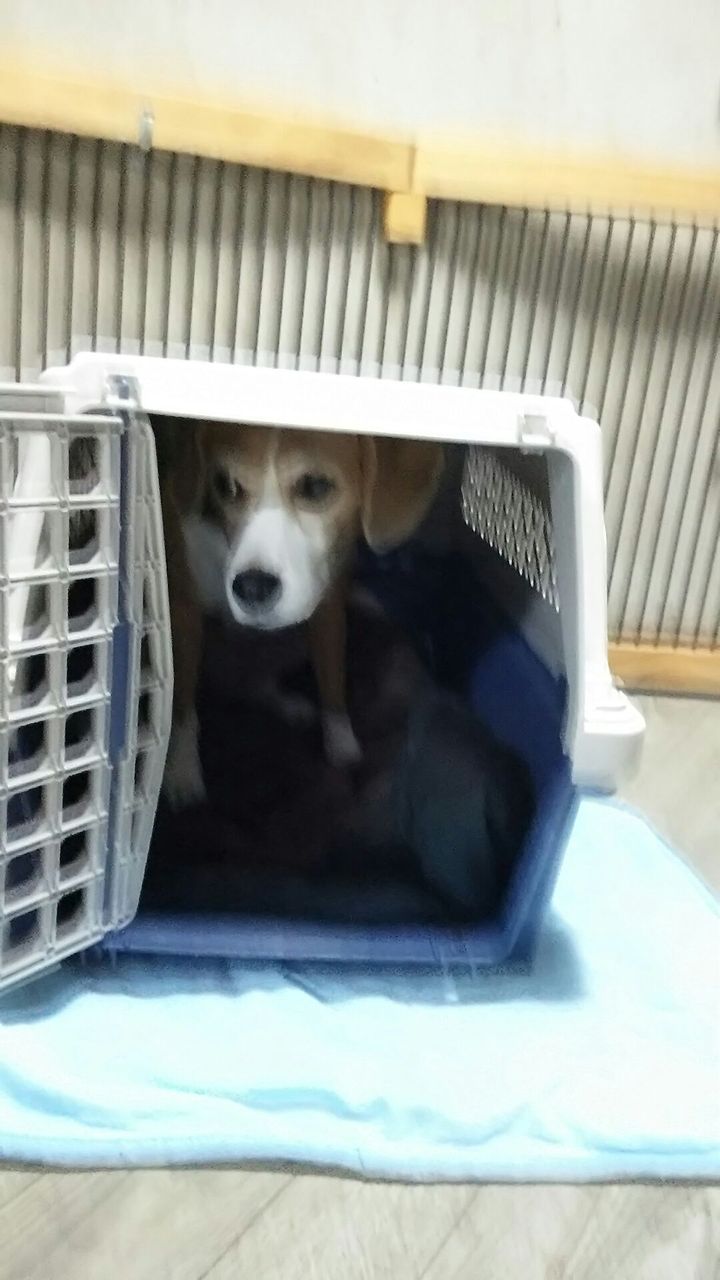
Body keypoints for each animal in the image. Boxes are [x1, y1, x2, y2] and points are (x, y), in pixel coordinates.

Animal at [154, 417, 444, 808]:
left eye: (315, 486)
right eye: (226, 486)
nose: (252, 588)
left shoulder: (329, 609)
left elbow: (332, 682)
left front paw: (341, 743)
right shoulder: (184, 615)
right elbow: (182, 706)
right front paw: (182, 771)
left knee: (254, 683)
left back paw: (289, 706)